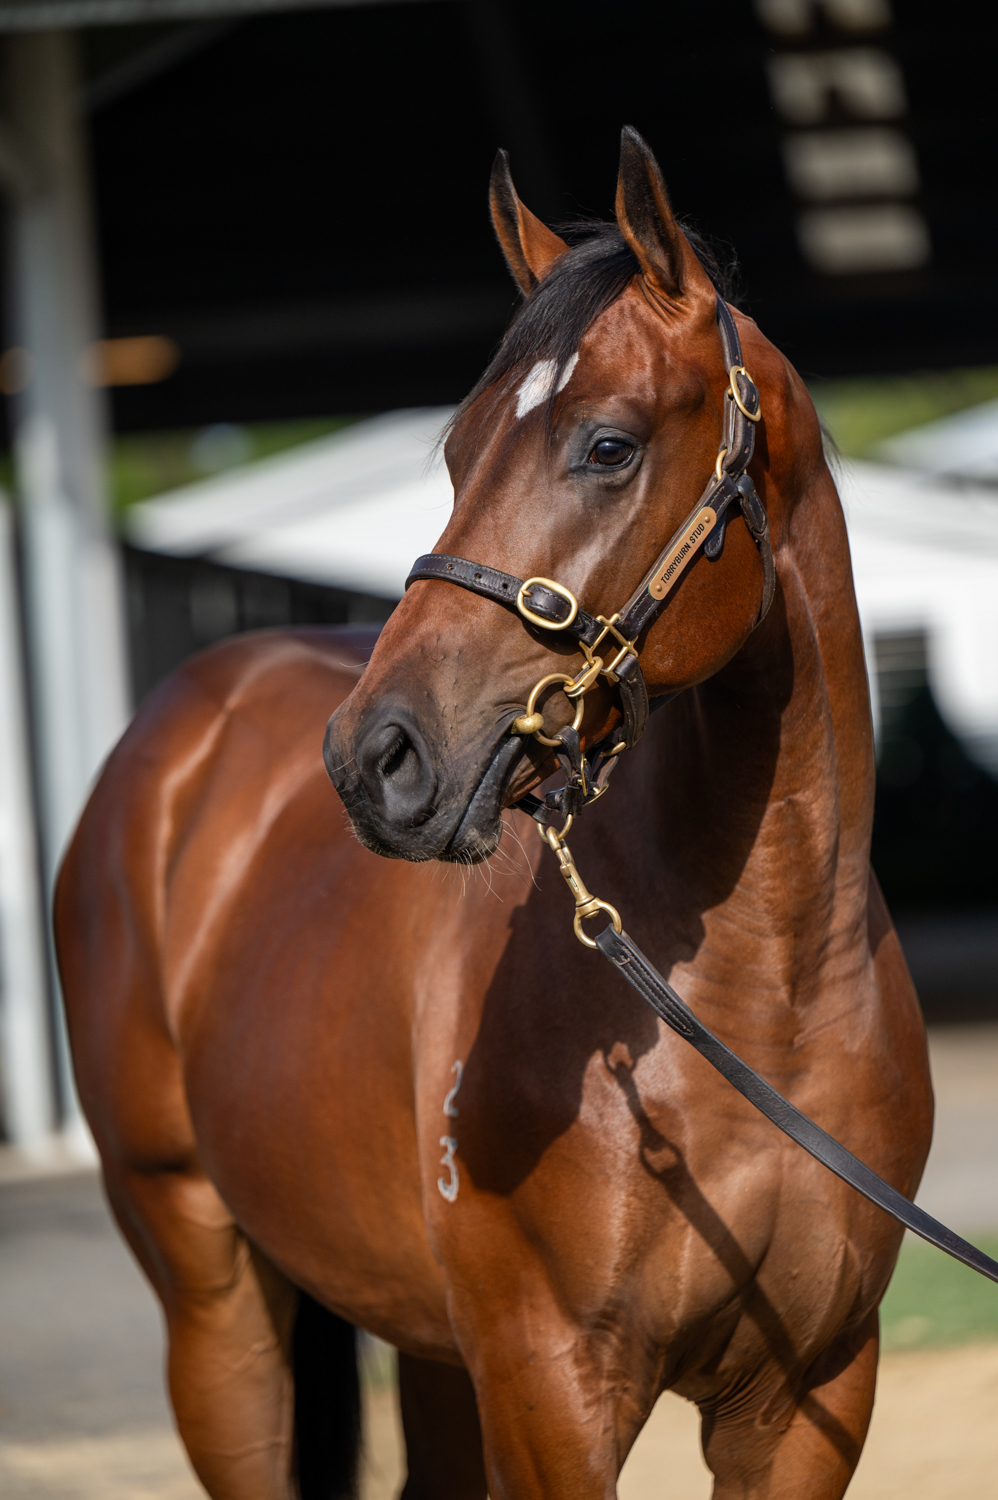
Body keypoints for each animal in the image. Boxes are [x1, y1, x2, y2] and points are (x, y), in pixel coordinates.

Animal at [54, 132, 930, 1500]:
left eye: (608, 446)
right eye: (460, 451)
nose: (375, 759)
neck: (765, 994)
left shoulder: (808, 1396)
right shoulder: (548, 1386)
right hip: (212, 1302)